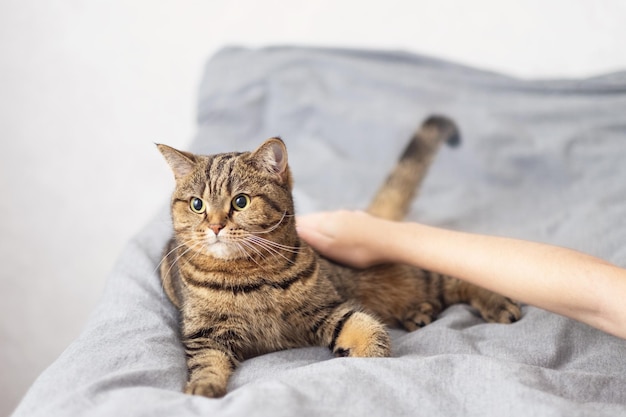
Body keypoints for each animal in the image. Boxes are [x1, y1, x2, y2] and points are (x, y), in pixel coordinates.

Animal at [158, 116, 520, 396]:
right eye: (197, 205)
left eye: (241, 202)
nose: (215, 225)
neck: (250, 274)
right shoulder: (206, 334)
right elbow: (207, 364)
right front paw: (203, 388)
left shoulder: (329, 308)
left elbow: (367, 330)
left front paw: (365, 358)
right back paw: (419, 312)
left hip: (416, 264)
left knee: (458, 277)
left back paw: (496, 304)